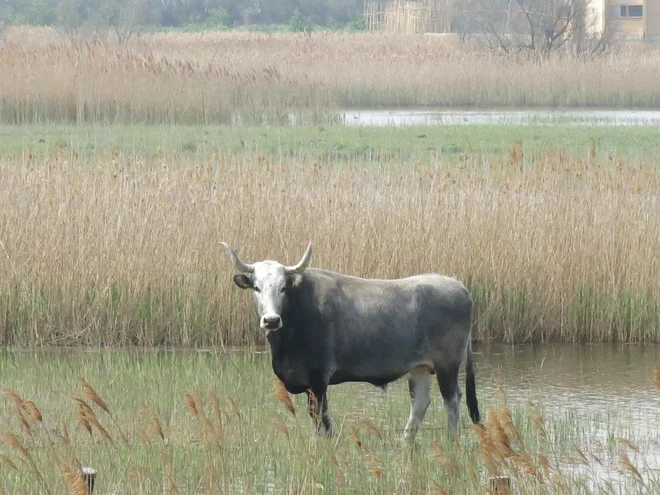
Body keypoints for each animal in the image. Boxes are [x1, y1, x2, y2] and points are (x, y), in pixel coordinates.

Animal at [220, 242, 480, 440]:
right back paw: (406, 441)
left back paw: (451, 440)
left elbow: (322, 421)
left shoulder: (318, 379)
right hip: (420, 368)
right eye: (256, 287)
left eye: (283, 287)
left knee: (451, 399)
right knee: (420, 403)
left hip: (447, 365)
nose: (272, 320)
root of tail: (457, 285)